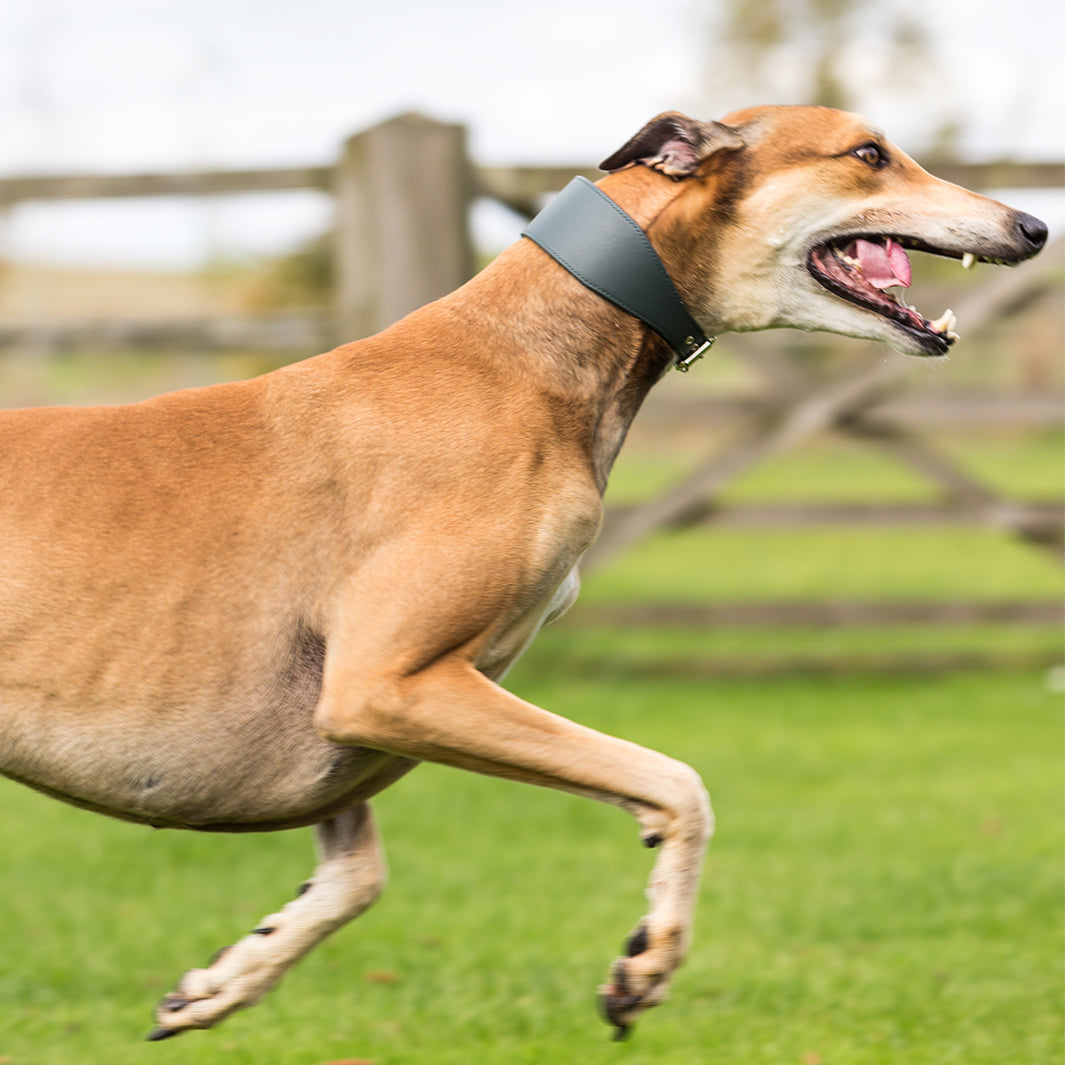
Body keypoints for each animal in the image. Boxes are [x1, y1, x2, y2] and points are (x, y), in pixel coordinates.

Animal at [0, 108, 1047, 1039]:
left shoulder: (350, 738)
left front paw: (226, 978)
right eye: (867, 153)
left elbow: (355, 875)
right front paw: (647, 958)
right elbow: (678, 785)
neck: (525, 351)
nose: (1032, 227)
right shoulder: (387, 684)